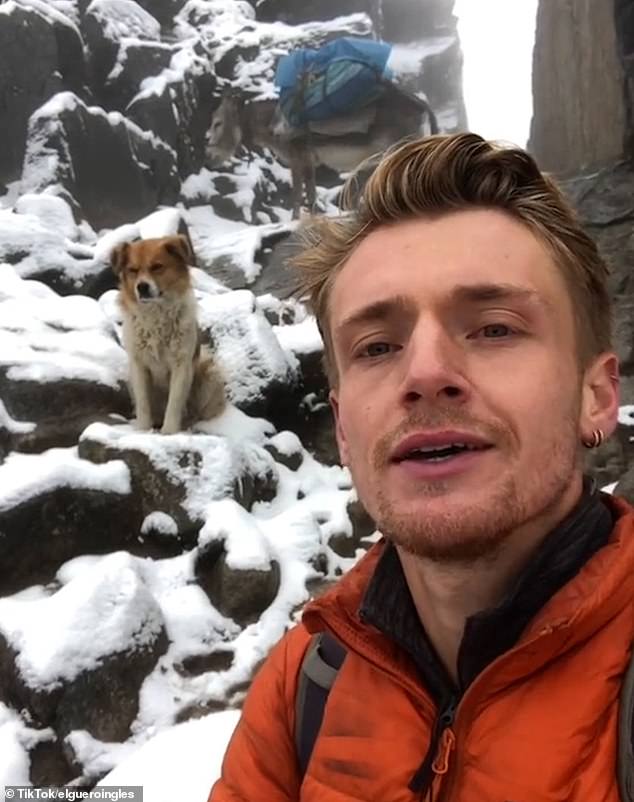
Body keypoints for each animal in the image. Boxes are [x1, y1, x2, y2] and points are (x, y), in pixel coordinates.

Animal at [110, 234, 225, 434]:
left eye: (157, 266)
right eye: (133, 270)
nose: (142, 287)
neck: (156, 313)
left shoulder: (181, 364)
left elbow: (175, 403)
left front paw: (169, 432)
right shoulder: (138, 365)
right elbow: (143, 404)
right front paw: (142, 431)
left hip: (211, 373)